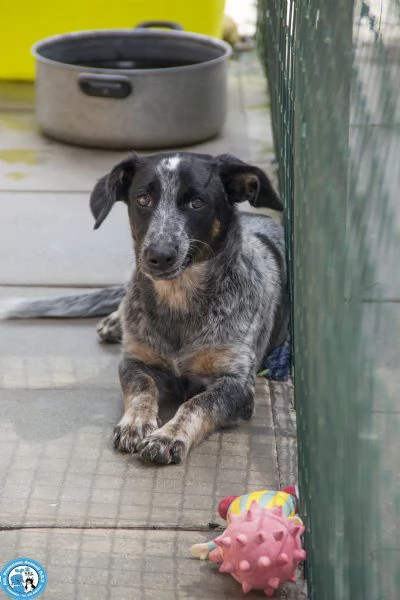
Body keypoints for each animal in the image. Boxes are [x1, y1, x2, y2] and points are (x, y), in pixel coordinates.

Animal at [4, 152, 290, 466]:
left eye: (197, 202)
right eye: (143, 199)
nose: (158, 255)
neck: (179, 299)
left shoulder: (237, 384)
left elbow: (197, 403)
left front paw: (168, 436)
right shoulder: (133, 362)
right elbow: (142, 388)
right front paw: (136, 423)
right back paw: (115, 321)